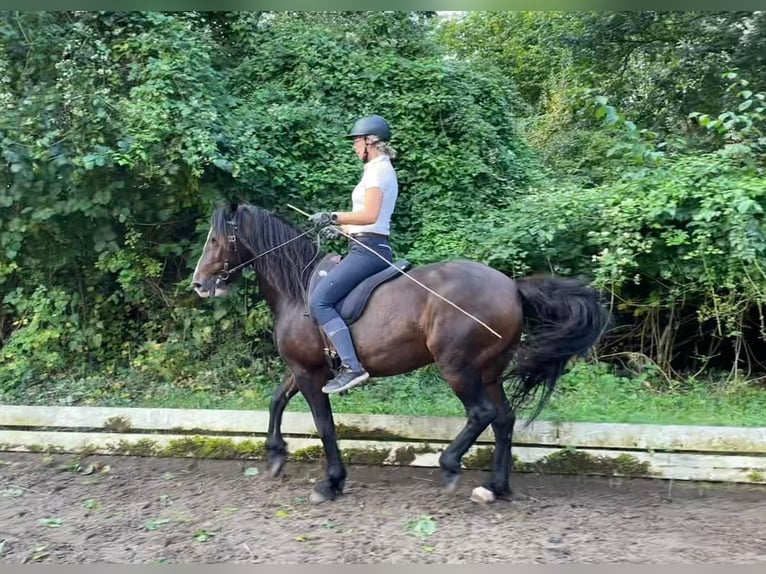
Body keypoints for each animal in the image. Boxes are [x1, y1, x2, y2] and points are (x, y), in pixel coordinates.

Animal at [192, 201, 612, 504]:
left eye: (215, 240)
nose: (199, 284)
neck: (299, 288)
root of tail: (511, 287)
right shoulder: (302, 368)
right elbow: (276, 400)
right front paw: (276, 454)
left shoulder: (311, 374)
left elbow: (324, 425)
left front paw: (330, 483)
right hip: (489, 370)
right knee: (504, 419)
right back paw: (495, 488)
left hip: (458, 367)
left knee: (482, 413)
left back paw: (451, 466)